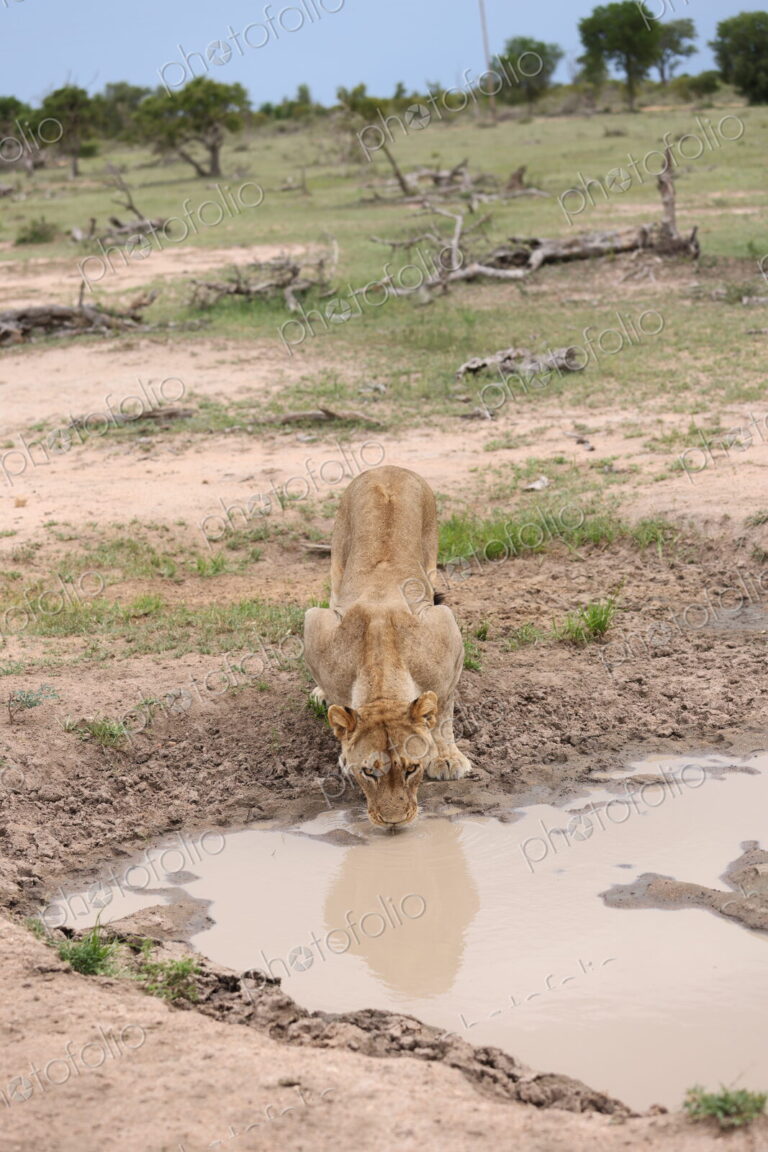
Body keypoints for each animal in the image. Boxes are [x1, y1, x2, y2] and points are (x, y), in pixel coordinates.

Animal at [304, 465, 471, 827]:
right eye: (369, 772)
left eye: (411, 769)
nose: (394, 821)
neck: (381, 663)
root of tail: (388, 467)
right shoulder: (315, 627)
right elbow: (338, 702)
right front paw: (343, 751)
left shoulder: (446, 628)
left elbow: (443, 709)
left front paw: (447, 757)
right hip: (337, 561)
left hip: (431, 557)